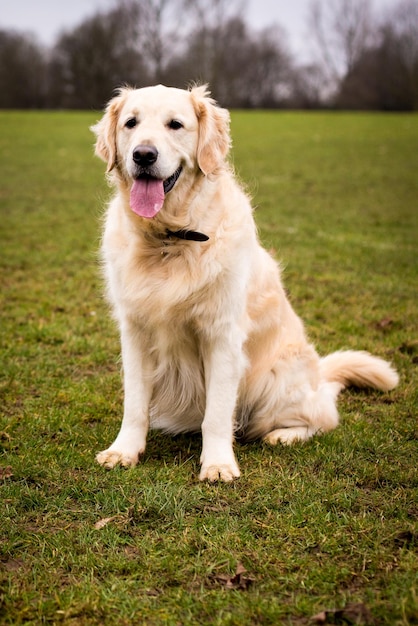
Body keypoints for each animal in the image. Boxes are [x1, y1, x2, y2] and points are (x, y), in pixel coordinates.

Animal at [91, 84, 398, 482]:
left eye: (175, 124)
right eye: (131, 123)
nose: (143, 155)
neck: (170, 239)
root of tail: (318, 376)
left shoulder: (221, 335)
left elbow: (217, 414)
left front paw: (218, 463)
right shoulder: (135, 331)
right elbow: (135, 404)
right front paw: (124, 451)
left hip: (277, 381)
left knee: (323, 416)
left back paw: (284, 435)